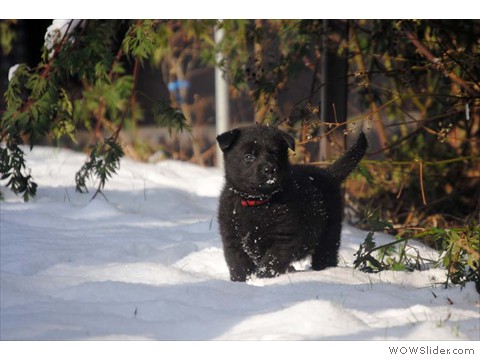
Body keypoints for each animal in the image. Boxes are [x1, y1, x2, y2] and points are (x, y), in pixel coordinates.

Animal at [218, 125, 368, 282]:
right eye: (249, 156)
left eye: (275, 153)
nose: (270, 169)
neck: (258, 202)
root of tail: (328, 174)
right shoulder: (233, 238)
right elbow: (239, 264)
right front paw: (242, 282)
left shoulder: (284, 237)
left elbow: (271, 262)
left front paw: (264, 279)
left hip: (328, 234)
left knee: (326, 254)